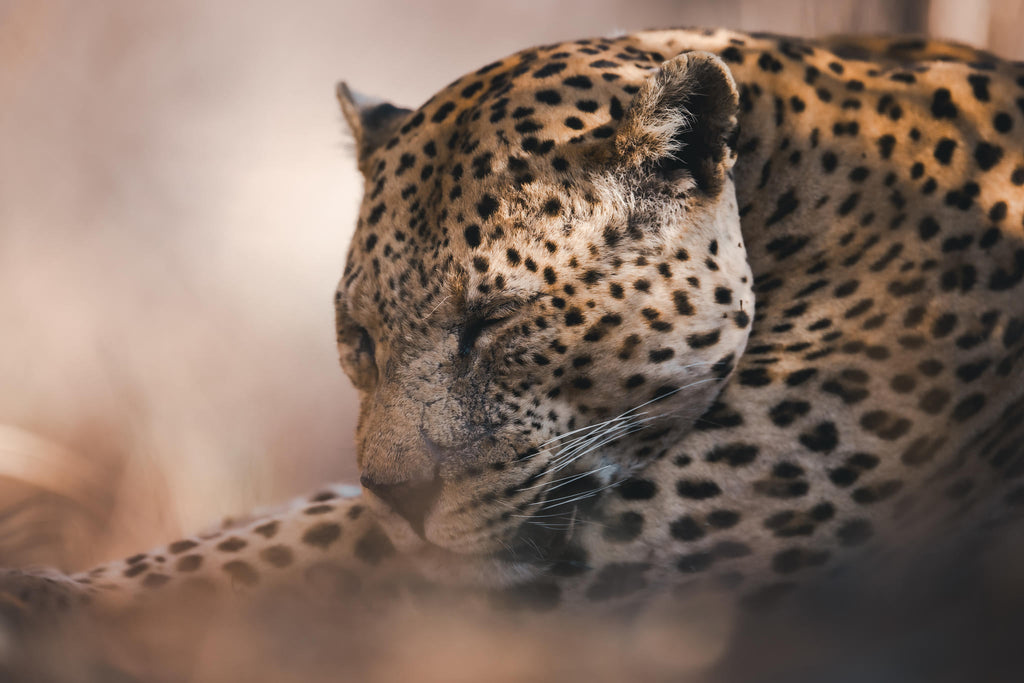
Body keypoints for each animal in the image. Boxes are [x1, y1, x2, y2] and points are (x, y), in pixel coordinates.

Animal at [3, 27, 1024, 642]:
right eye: (358, 336)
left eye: (494, 321)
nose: (400, 495)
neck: (793, 192)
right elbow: (278, 520)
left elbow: (294, 548)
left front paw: (53, 603)